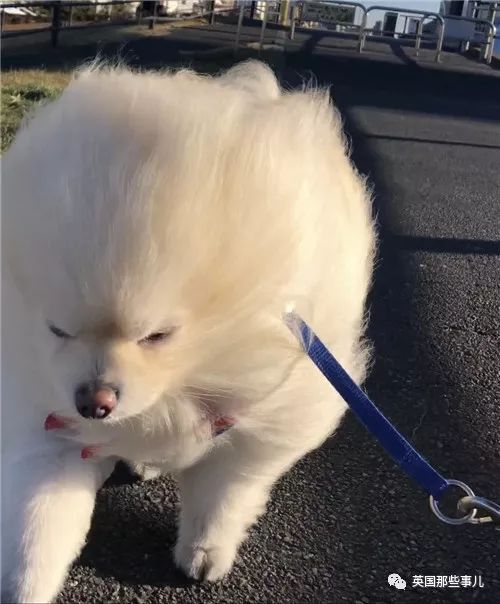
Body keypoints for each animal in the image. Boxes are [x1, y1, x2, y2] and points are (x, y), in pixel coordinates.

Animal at [0, 60, 376, 600]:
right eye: (57, 330)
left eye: (157, 335)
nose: (94, 401)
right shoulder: (49, 420)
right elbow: (39, 522)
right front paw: (24, 586)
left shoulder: (260, 422)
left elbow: (223, 494)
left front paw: (204, 551)